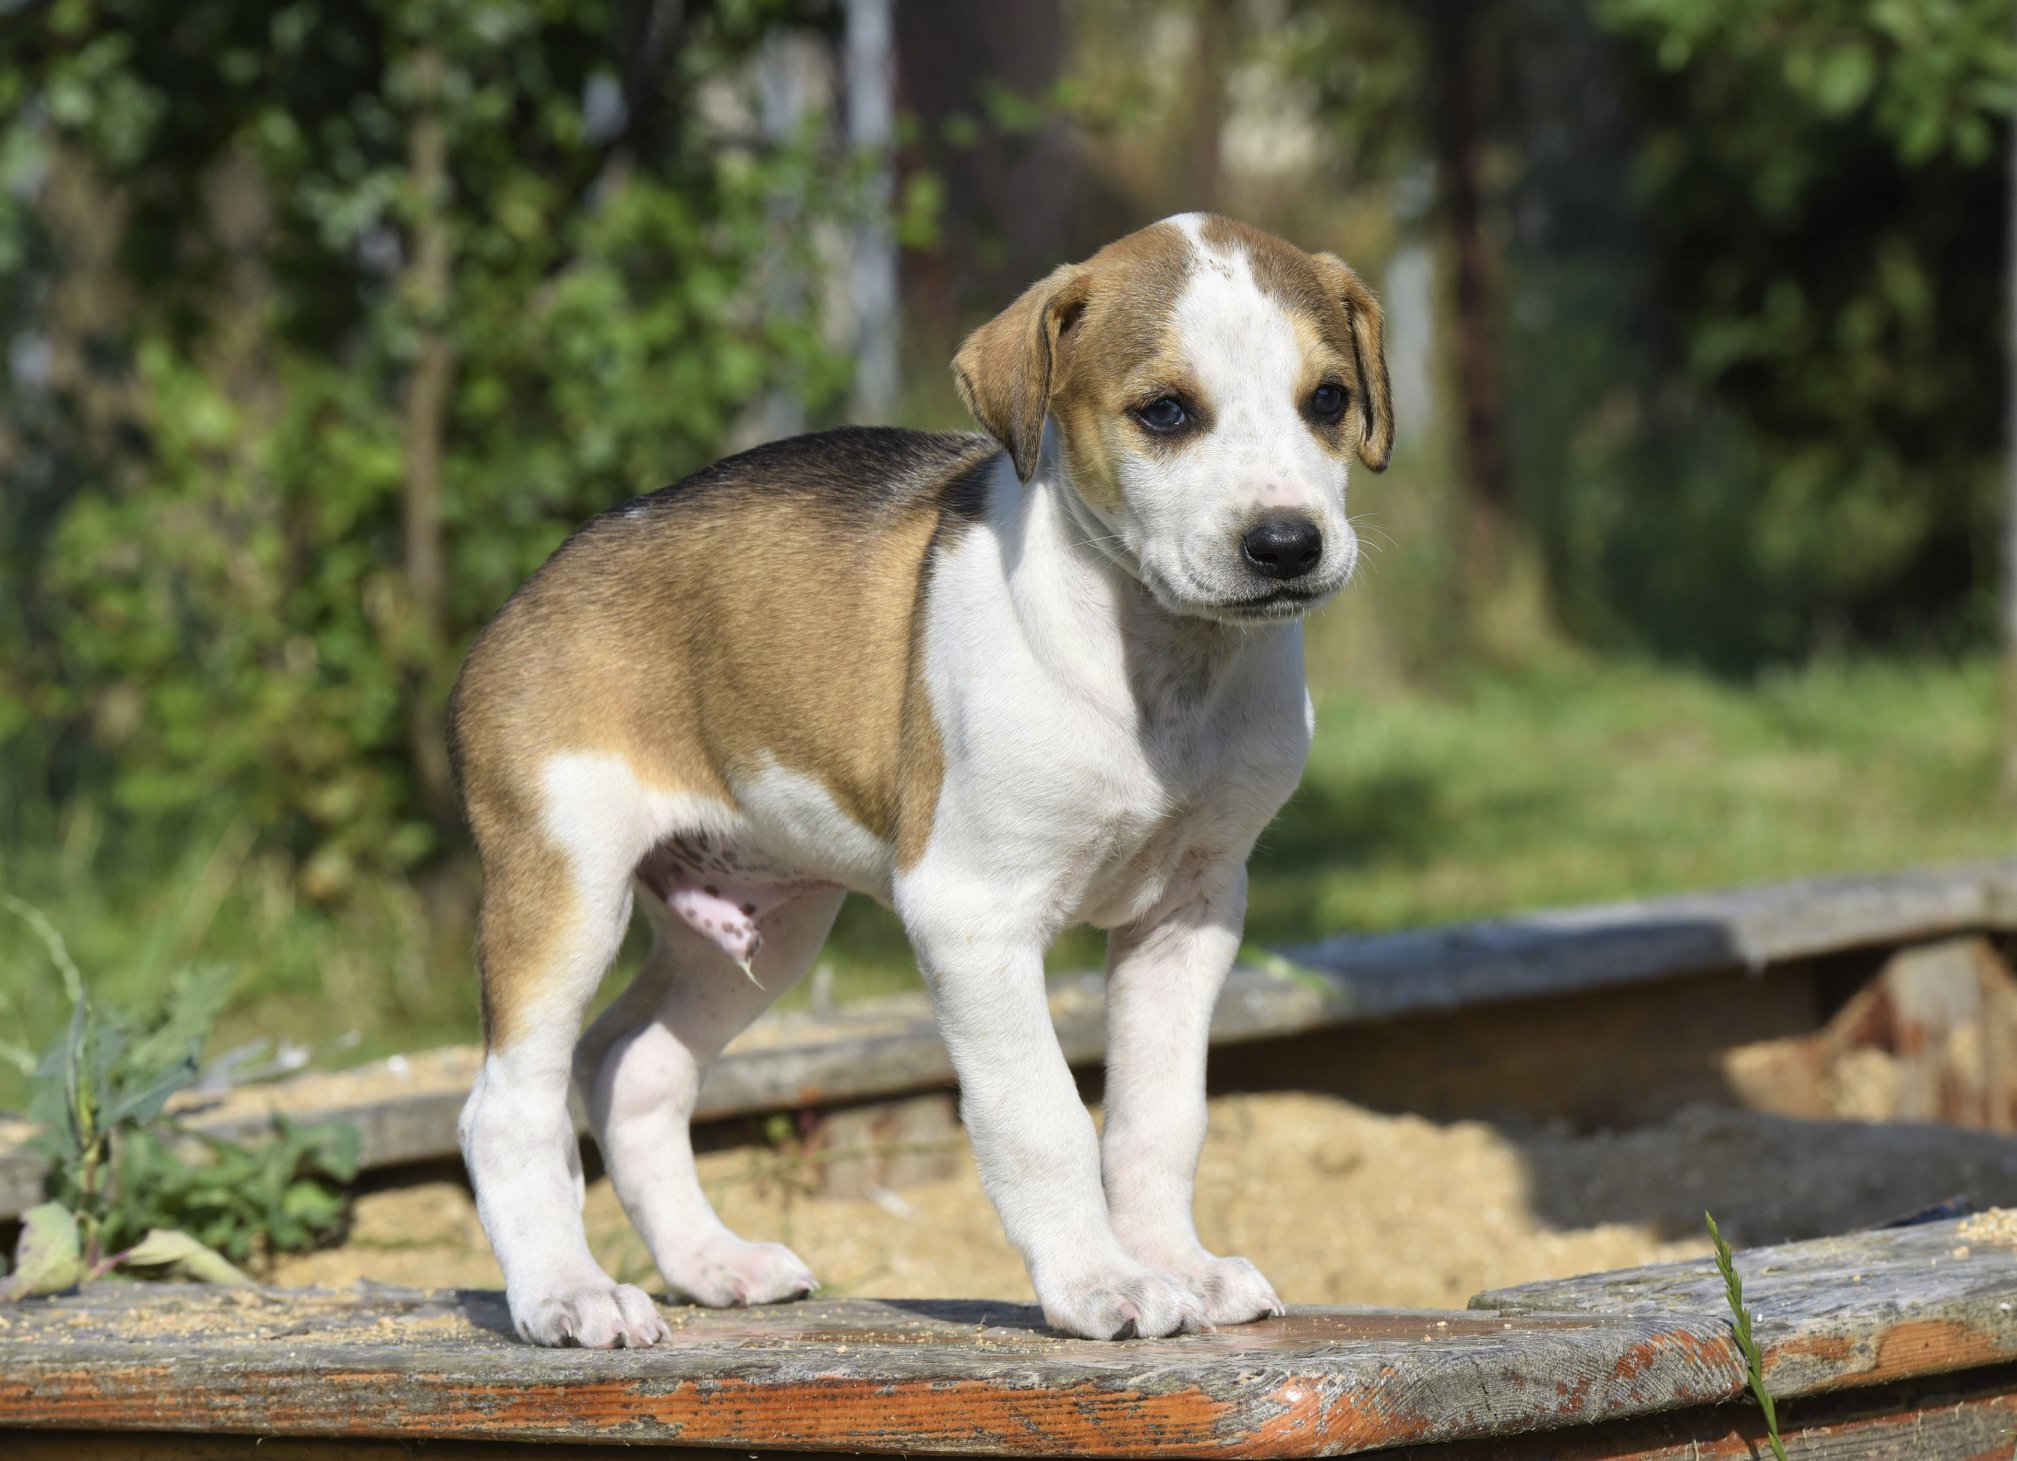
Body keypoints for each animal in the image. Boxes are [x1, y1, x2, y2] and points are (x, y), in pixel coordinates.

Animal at [450, 213, 1392, 1347]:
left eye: (1328, 399)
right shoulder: (971, 916)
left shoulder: (1193, 910)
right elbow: (1041, 1117)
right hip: (564, 892)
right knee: (508, 1106)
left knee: (632, 1067)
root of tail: (531, 592)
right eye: (1165, 411)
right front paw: (1098, 1282)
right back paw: (566, 1293)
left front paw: (1180, 1267)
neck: (1160, 661)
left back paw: (713, 1262)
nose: (1286, 545)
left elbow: (1158, 1117)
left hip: (763, 923)